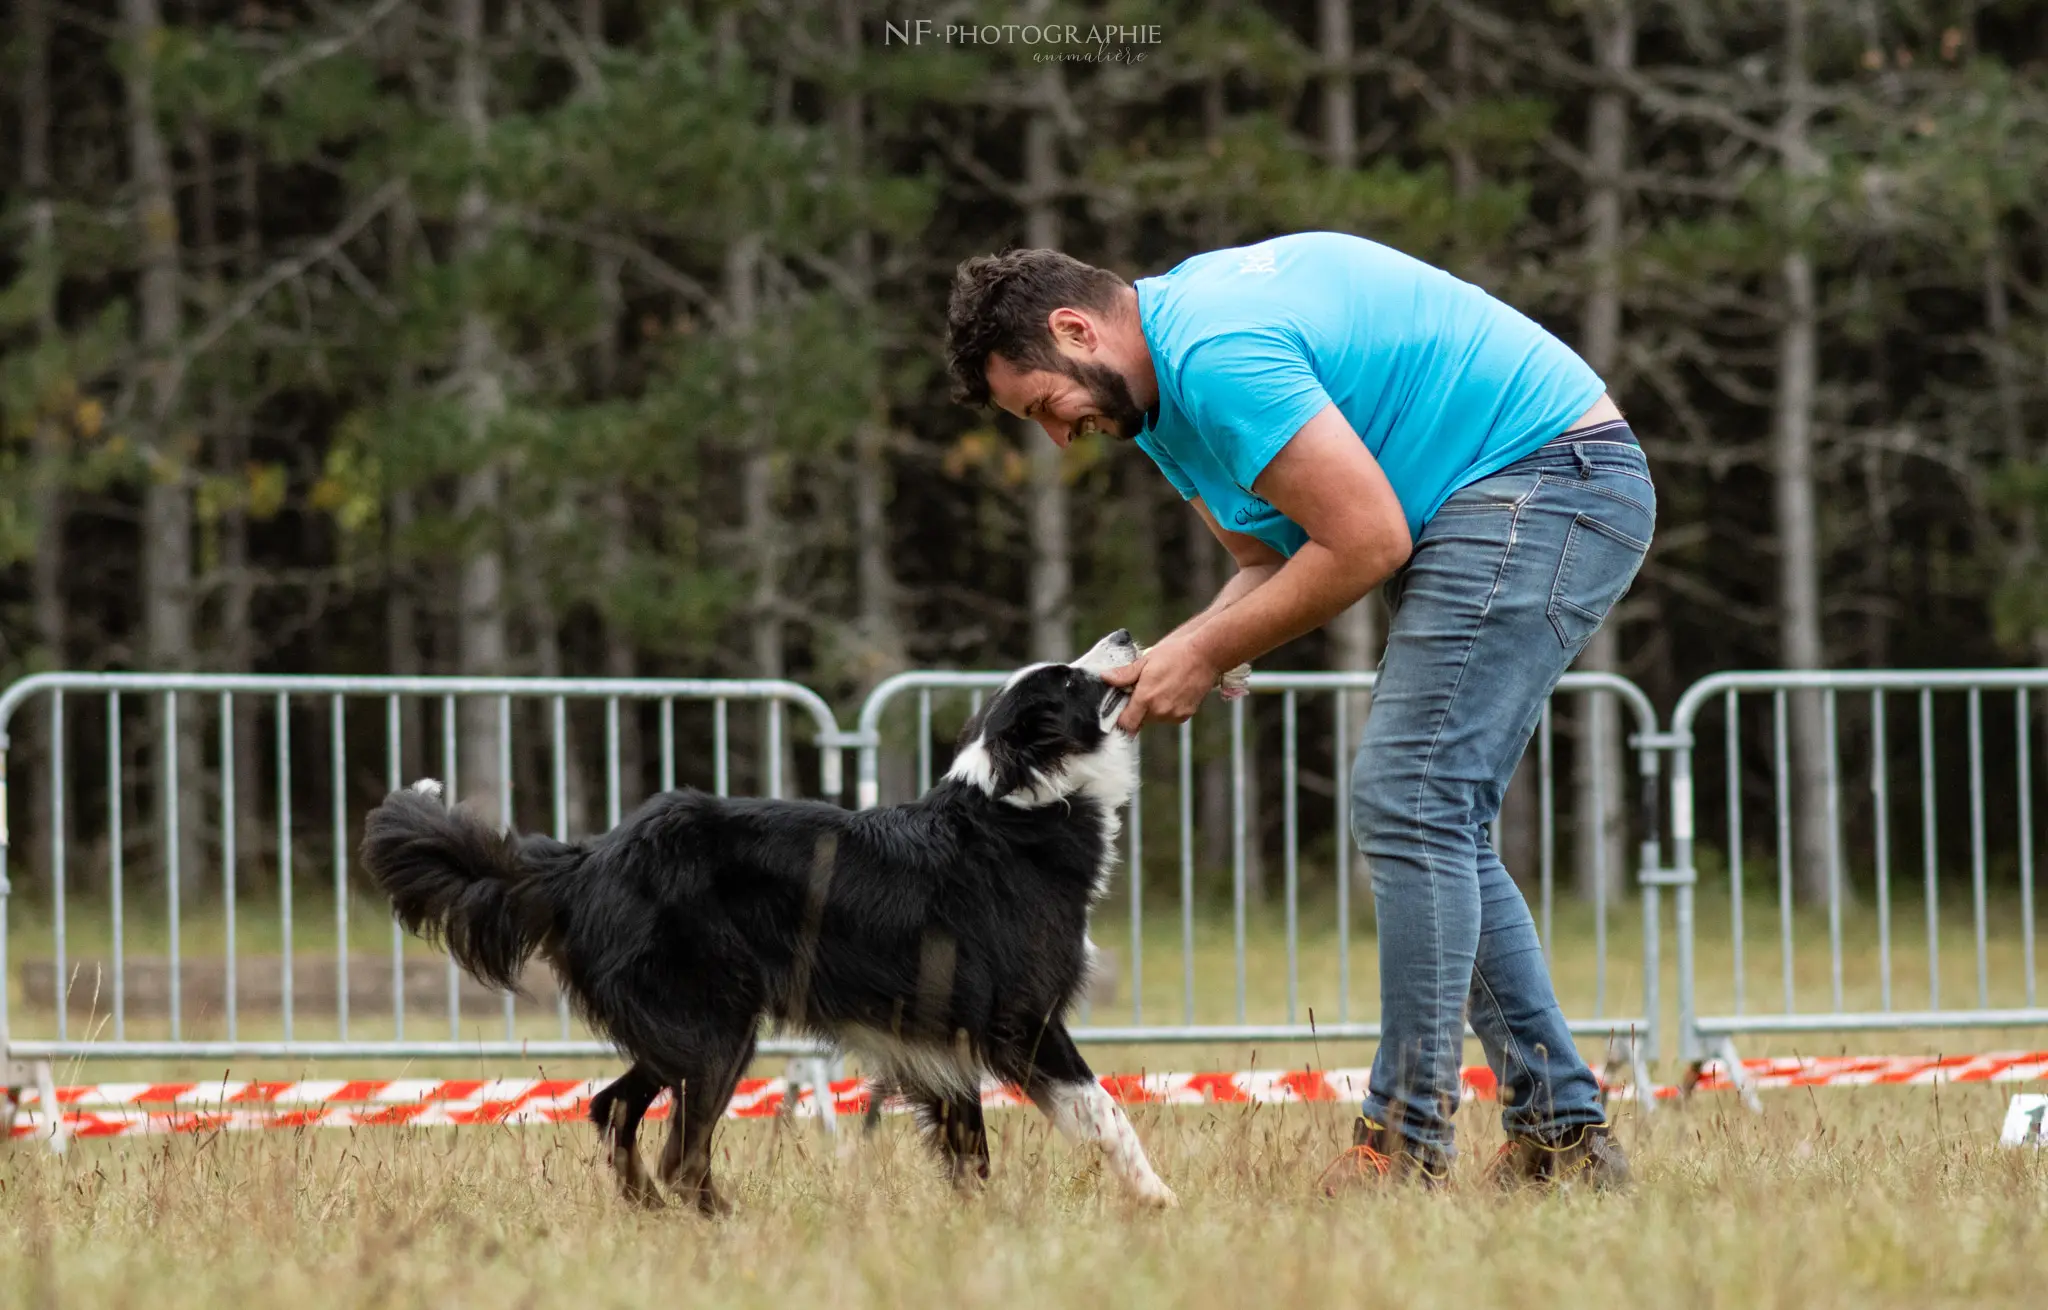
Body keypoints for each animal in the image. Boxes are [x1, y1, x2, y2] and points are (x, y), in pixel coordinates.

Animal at [360, 630, 1179, 1211]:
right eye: (1069, 679)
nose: (1125, 633)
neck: (1019, 808)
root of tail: (590, 858)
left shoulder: (937, 1039)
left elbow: (969, 1146)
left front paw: (981, 1222)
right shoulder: (1021, 1020)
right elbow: (1104, 1110)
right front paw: (1156, 1197)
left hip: (682, 1031)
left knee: (612, 1108)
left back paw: (651, 1213)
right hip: (716, 1030)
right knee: (680, 1151)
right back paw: (720, 1222)